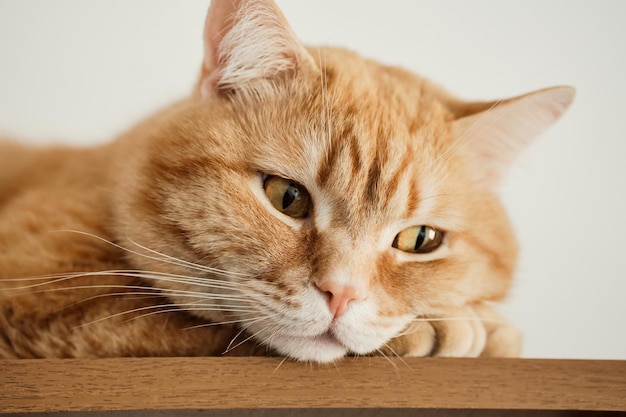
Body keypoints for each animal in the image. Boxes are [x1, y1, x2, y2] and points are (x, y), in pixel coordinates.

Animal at [0, 0, 572, 362]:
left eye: (419, 240)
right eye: (287, 197)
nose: (341, 294)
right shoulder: (38, 294)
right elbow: (186, 323)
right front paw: (452, 328)